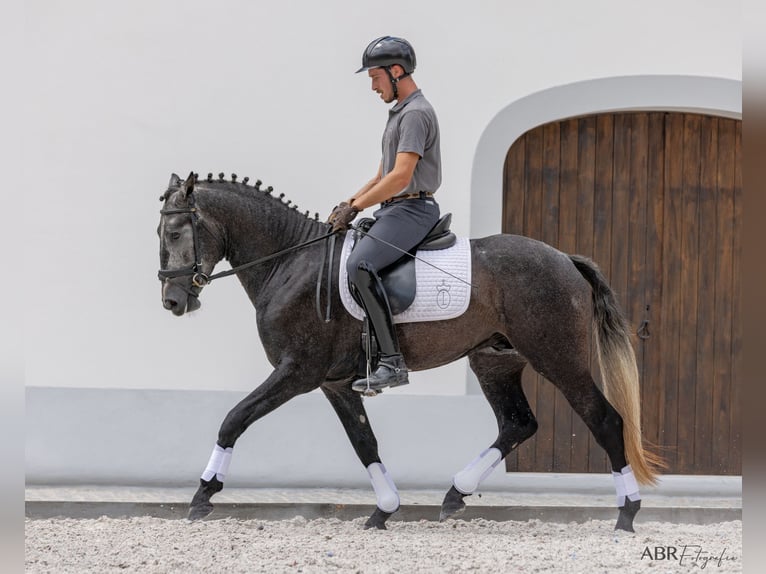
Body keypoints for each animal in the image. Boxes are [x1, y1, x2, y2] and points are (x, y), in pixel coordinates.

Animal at [158, 172, 664, 536]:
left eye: (178, 231)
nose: (173, 302)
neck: (289, 261)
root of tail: (564, 259)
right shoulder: (335, 383)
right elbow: (365, 443)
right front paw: (384, 509)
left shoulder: (297, 372)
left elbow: (234, 418)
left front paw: (203, 495)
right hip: (494, 360)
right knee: (518, 423)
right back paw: (455, 494)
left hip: (559, 359)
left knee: (605, 420)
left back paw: (627, 514)